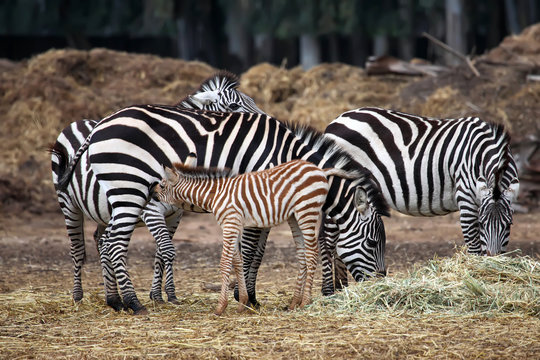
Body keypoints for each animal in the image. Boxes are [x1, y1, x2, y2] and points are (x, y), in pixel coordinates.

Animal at [49, 71, 264, 306]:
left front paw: (161, 295)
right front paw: (165, 295)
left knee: (101, 241)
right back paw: (79, 296)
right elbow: (166, 250)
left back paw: (113, 295)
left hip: (104, 213)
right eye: (234, 106)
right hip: (69, 205)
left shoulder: (174, 215)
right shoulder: (151, 211)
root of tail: (81, 122)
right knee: (78, 250)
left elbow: (161, 252)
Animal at [152, 160, 358, 316]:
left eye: (162, 185)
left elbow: (225, 262)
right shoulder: (233, 224)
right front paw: (242, 302)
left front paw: (220, 307)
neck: (215, 194)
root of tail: (319, 169)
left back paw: (305, 301)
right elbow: (237, 261)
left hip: (307, 211)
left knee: (312, 253)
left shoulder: (230, 222)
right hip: (294, 216)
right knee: (302, 254)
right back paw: (294, 302)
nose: (152, 195)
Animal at [320, 106, 520, 296]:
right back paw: (330, 290)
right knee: (327, 238)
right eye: (482, 222)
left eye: (509, 224)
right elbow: (473, 245)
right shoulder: (466, 196)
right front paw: (474, 278)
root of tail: (336, 120)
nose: (494, 262)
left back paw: (342, 288)